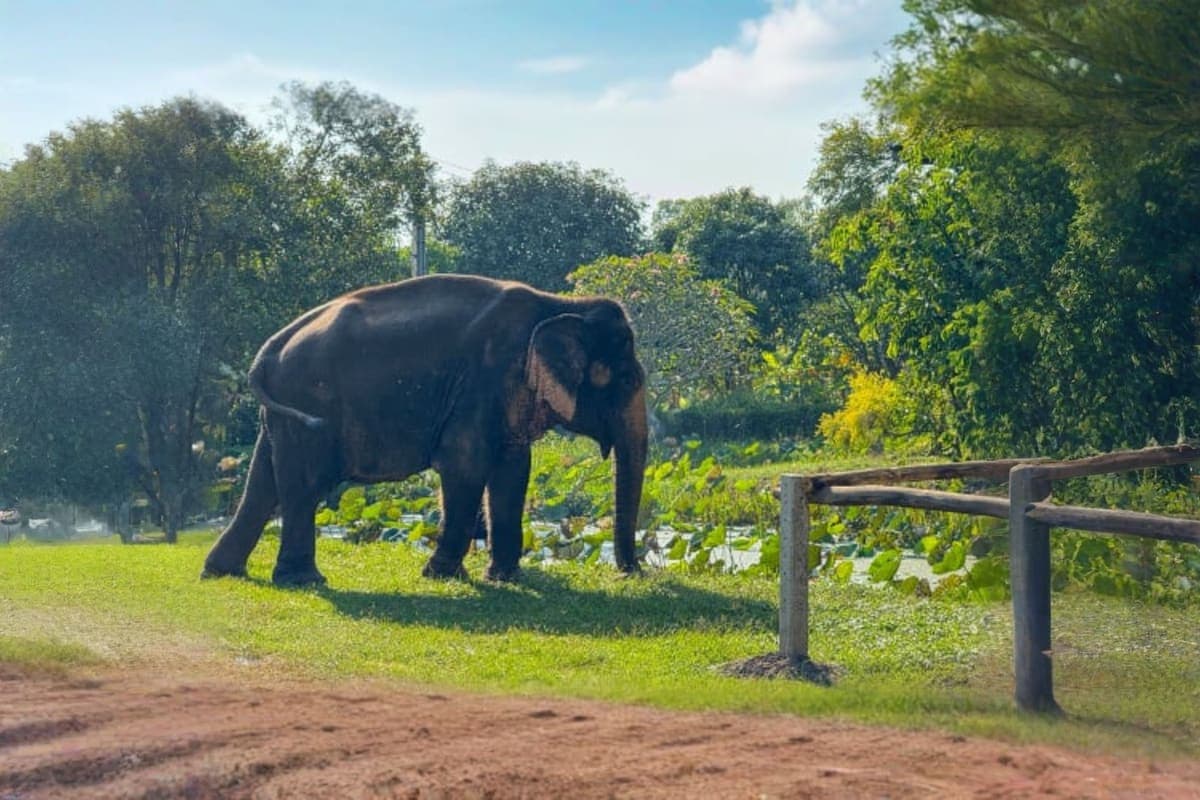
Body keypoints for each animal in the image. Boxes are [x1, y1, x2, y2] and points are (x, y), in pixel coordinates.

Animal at [202, 274, 648, 586]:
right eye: (627, 381)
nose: (632, 573)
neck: (560, 304)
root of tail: (267, 351)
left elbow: (513, 469)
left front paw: (503, 579)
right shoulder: (482, 383)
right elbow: (465, 464)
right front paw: (443, 576)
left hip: (282, 415)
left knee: (264, 485)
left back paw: (223, 572)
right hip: (307, 404)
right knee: (302, 487)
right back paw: (304, 581)